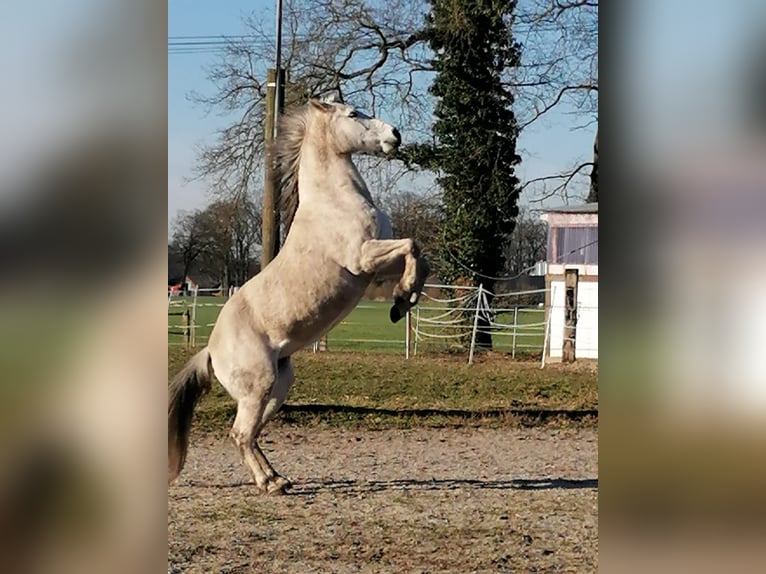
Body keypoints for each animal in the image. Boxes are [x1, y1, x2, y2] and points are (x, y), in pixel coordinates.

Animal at [168, 98, 428, 496]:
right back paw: (269, 483)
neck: (334, 201)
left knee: (250, 434)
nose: (395, 135)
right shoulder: (363, 258)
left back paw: (277, 478)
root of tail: (210, 351)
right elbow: (413, 245)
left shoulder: (375, 267)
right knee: (240, 433)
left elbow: (420, 257)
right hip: (258, 388)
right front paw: (402, 300)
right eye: (353, 114)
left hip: (278, 388)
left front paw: (404, 300)